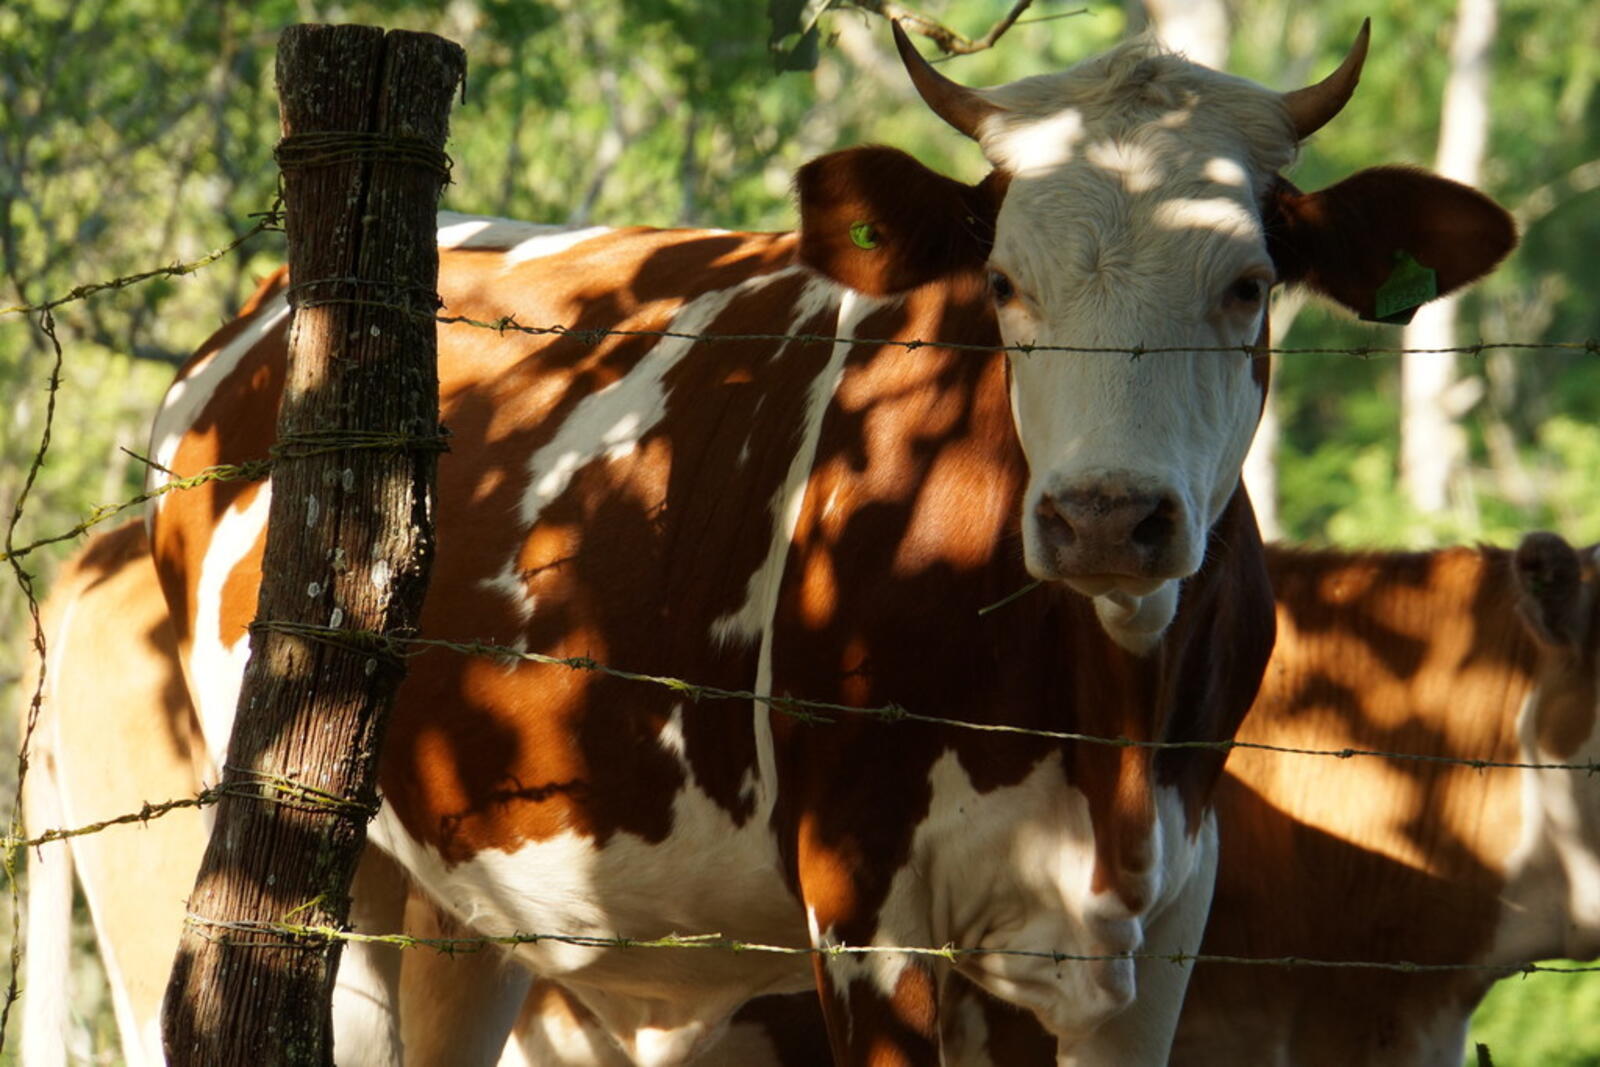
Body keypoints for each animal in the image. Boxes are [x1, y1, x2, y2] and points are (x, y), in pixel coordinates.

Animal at [143, 21, 1514, 1065]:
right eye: (1002, 285)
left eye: (1247, 285)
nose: (1104, 516)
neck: (1105, 731)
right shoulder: (865, 905)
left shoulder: (1165, 917)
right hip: (290, 850)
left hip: (458, 906)